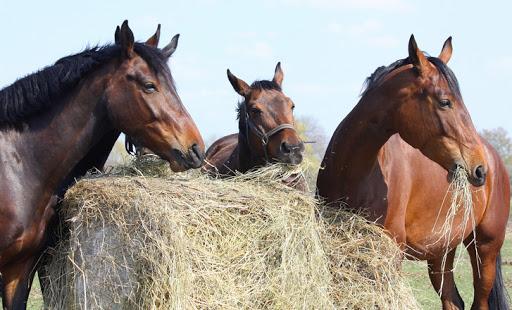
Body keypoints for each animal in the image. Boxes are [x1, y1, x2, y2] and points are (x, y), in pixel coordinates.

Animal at [316, 36, 508, 310]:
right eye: (445, 101)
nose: (479, 168)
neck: (352, 172)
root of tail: (495, 158)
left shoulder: (390, 256)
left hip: (485, 249)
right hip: (441, 252)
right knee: (452, 300)